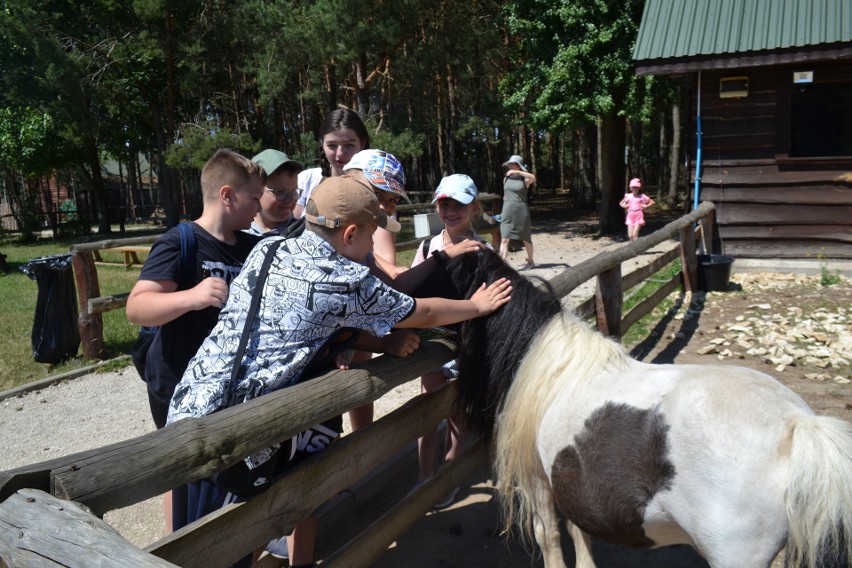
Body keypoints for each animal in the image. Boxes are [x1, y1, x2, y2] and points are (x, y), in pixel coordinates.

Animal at [432, 248, 852, 568]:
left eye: (442, 277)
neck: (550, 365)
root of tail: (797, 424)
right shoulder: (572, 478)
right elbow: (579, 530)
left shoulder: (538, 479)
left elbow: (548, 535)